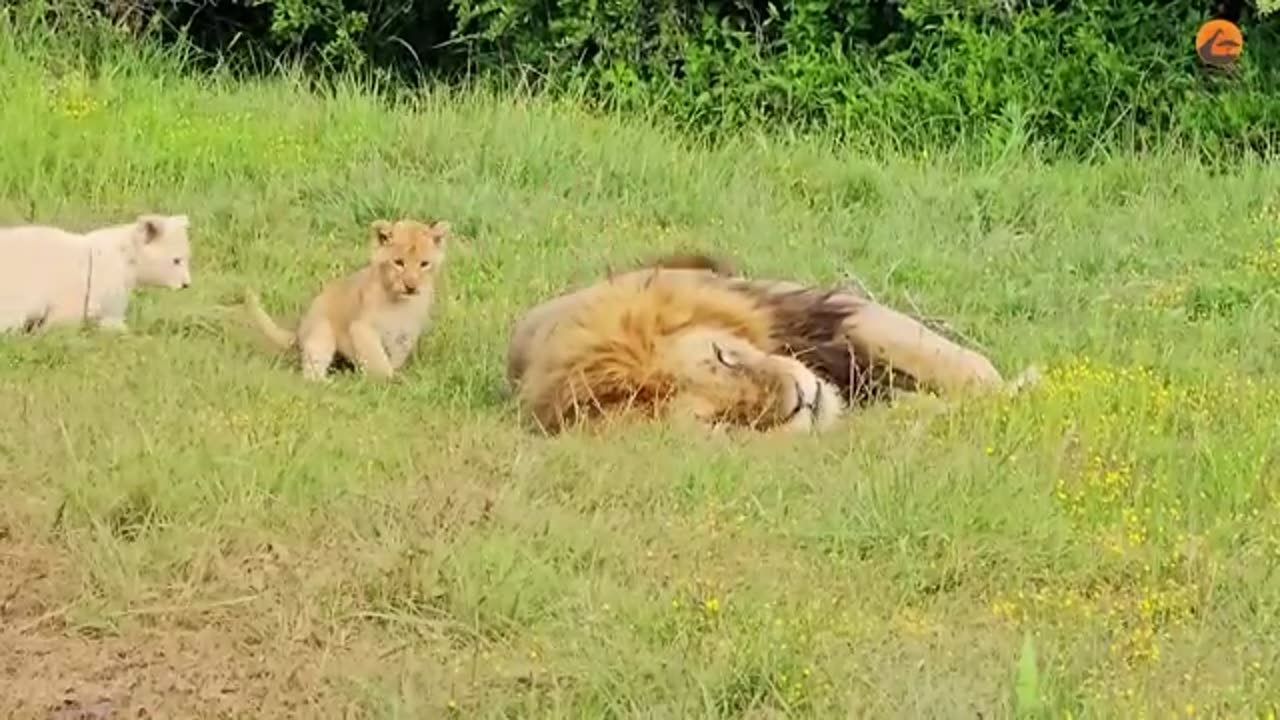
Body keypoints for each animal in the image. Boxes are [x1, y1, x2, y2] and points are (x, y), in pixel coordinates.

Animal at [504, 252, 1034, 430]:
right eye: (720, 419)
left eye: (724, 357)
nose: (800, 398)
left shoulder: (807, 309)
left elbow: (962, 366)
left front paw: (1023, 388)